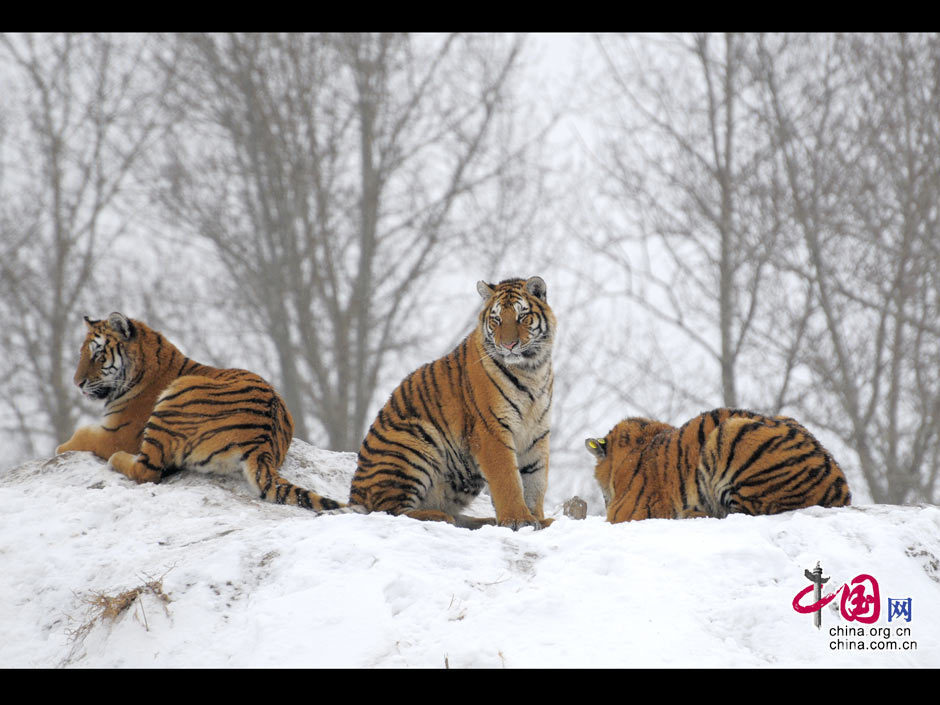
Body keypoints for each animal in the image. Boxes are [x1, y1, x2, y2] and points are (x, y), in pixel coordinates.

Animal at [56, 310, 342, 508]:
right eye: (82, 354)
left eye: (98, 355)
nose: (77, 383)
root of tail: (260, 441)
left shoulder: (117, 434)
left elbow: (80, 436)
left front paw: (62, 447)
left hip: (175, 396)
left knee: (146, 470)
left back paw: (118, 459)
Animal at [346, 276, 556, 528]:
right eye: (496, 320)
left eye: (521, 317)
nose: (509, 345)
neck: (531, 370)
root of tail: (354, 493)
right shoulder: (491, 430)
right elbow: (507, 479)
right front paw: (518, 520)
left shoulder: (537, 433)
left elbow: (535, 481)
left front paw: (538, 520)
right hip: (414, 441)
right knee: (390, 510)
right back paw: (437, 517)